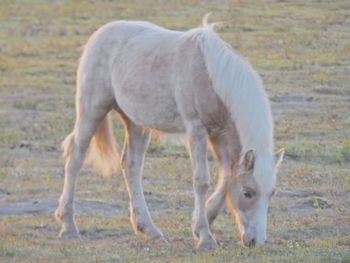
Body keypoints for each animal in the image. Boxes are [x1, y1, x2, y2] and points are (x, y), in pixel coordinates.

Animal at [55, 14, 284, 252]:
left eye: (272, 193)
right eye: (248, 192)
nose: (256, 241)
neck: (211, 77)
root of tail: (99, 34)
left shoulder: (218, 133)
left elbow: (227, 177)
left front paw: (203, 221)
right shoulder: (196, 129)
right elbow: (202, 180)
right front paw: (205, 237)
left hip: (136, 123)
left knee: (131, 166)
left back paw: (149, 230)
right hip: (92, 110)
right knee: (75, 158)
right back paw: (68, 226)